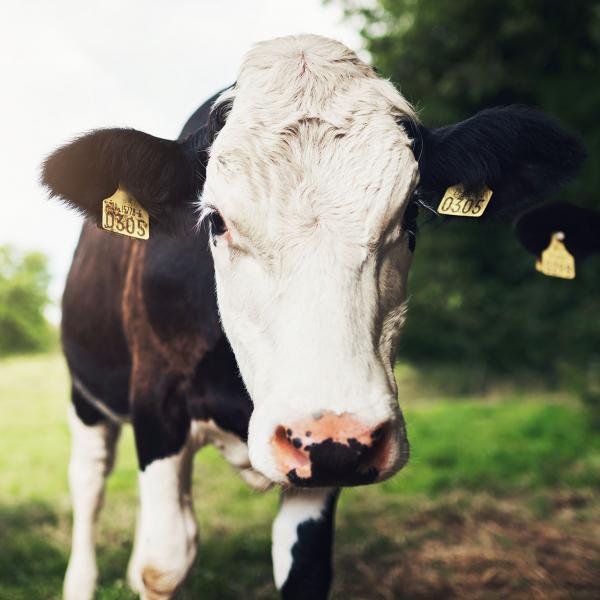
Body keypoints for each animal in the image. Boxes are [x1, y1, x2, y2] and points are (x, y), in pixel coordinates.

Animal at [39, 35, 584, 596]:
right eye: (215, 220)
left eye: (410, 213)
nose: (336, 436)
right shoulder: (157, 398)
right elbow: (164, 562)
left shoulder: (325, 461)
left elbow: (303, 567)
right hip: (86, 394)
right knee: (89, 480)